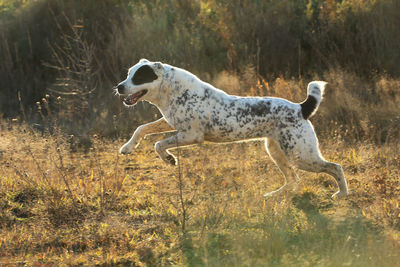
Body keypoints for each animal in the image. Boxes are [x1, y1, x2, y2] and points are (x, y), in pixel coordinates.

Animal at [114, 59, 348, 199]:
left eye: (139, 77)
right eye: (128, 74)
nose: (119, 86)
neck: (172, 91)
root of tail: (301, 108)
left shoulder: (191, 135)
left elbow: (158, 144)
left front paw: (169, 159)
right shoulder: (170, 123)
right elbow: (142, 129)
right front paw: (128, 147)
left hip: (301, 155)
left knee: (335, 167)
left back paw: (342, 194)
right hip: (276, 151)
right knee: (293, 179)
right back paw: (273, 196)